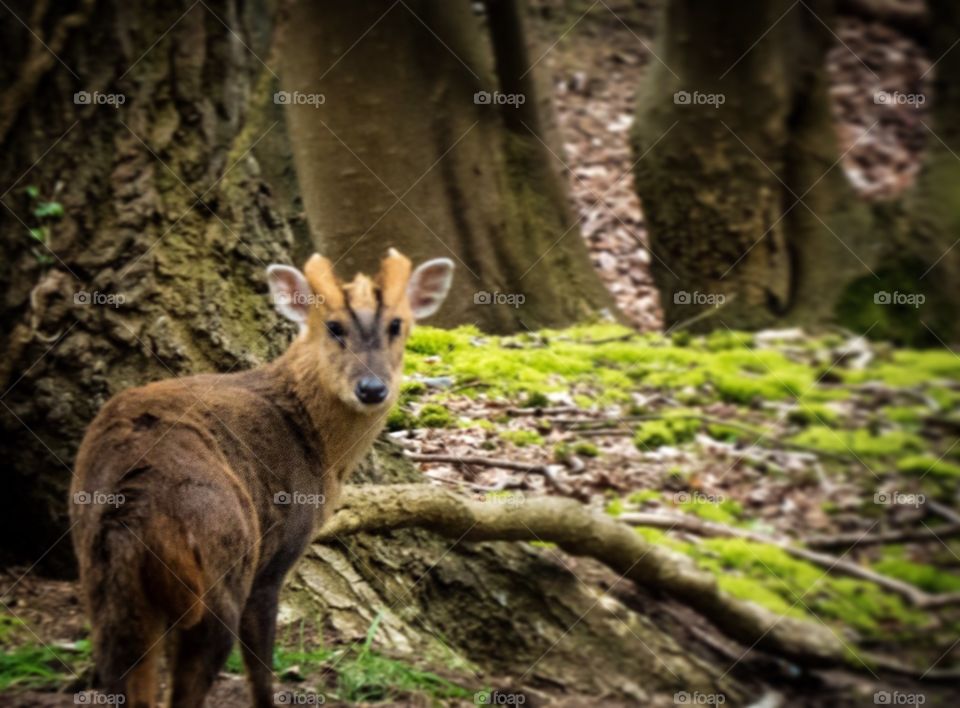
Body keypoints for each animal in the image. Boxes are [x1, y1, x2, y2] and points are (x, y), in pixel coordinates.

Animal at [69, 249, 454, 708]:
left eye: (397, 324)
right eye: (333, 327)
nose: (373, 388)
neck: (320, 450)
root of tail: (134, 505)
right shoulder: (276, 556)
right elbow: (261, 671)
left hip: (107, 585)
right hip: (221, 569)